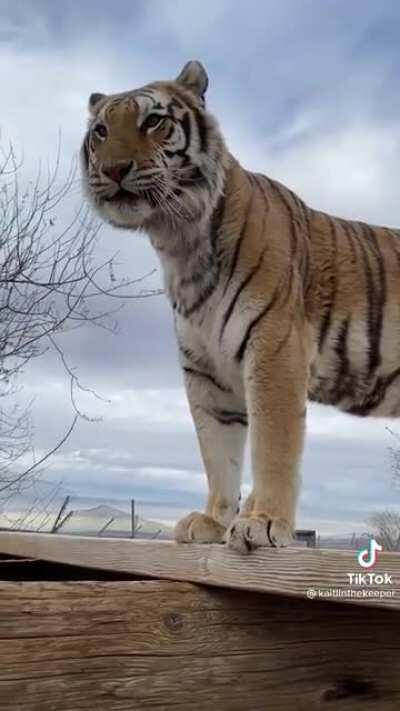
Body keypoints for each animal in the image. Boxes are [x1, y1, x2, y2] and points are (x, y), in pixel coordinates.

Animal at [81, 60, 400, 553]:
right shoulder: (205, 373)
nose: (113, 169)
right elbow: (218, 454)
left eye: (153, 121)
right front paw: (213, 521)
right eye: (100, 131)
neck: (177, 242)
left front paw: (264, 522)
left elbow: (273, 445)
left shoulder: (275, 351)